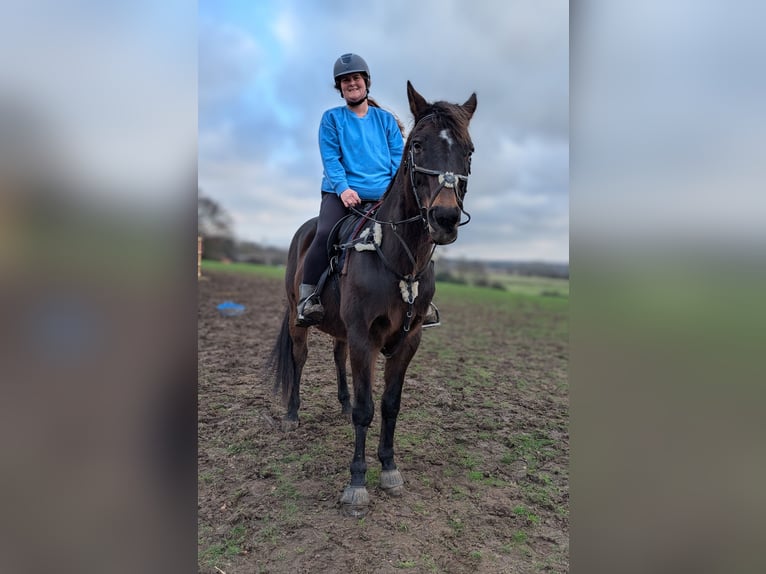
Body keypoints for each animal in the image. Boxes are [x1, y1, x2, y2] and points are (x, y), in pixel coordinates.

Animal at [270, 81, 477, 517]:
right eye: (416, 145)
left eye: (468, 150)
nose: (445, 219)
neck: (398, 257)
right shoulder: (365, 338)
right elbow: (367, 410)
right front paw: (357, 483)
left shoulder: (409, 340)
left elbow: (389, 404)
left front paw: (389, 469)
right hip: (298, 319)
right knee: (300, 359)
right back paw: (293, 415)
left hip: (341, 329)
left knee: (337, 355)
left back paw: (342, 403)